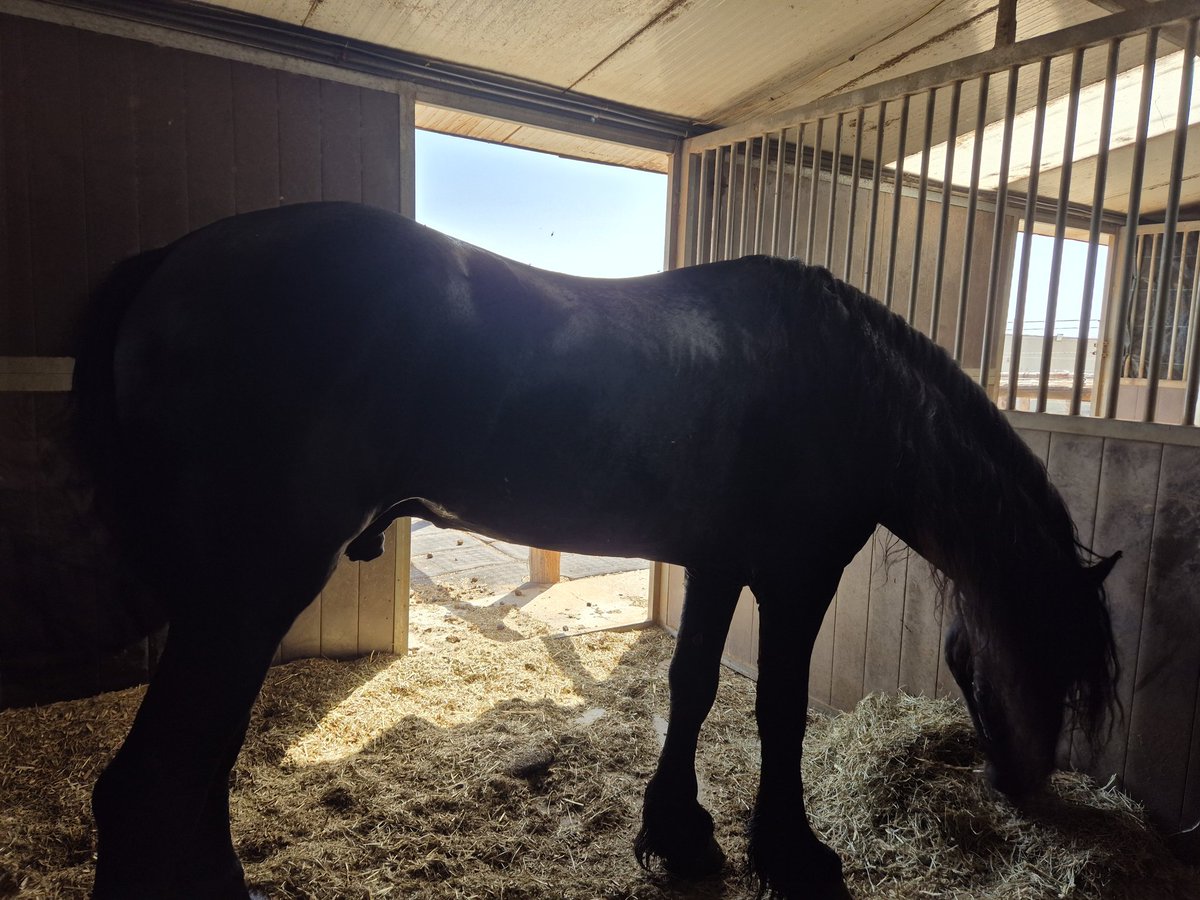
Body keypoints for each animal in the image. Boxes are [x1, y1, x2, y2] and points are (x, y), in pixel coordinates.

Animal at [72, 201, 1119, 899]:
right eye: (1055, 660)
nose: (1025, 786)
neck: (846, 387)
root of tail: (170, 260)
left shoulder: (717, 564)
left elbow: (693, 686)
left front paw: (681, 836)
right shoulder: (796, 573)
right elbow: (778, 709)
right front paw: (792, 855)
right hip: (253, 588)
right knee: (156, 780)